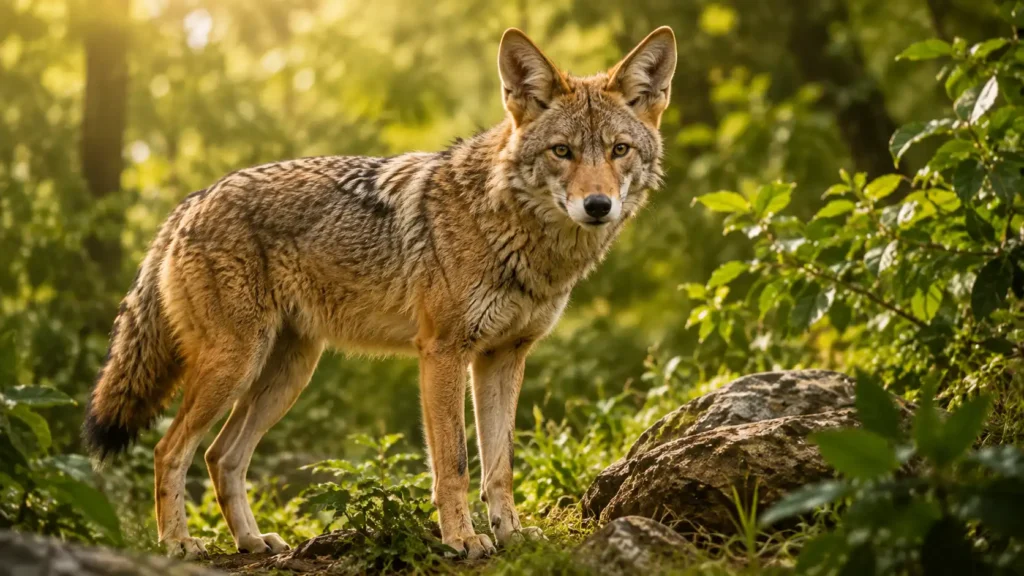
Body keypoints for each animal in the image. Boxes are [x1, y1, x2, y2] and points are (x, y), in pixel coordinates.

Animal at [83, 26, 677, 560]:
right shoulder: (443, 353)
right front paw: (463, 540)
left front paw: (511, 535)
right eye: (562, 151)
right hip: (236, 365)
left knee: (219, 456)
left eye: (619, 150)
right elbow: (455, 464)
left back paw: (252, 542)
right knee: (170, 449)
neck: (516, 233)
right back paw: (179, 544)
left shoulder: (503, 358)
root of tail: (190, 203)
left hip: (286, 375)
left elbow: (500, 466)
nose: (598, 206)